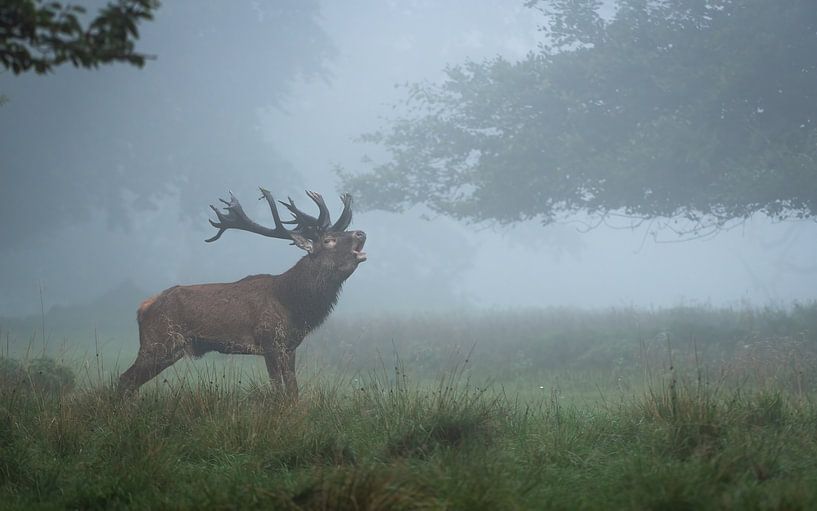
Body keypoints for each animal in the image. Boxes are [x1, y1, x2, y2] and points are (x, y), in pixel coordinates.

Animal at [118, 188, 366, 397]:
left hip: (168, 350)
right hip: (157, 342)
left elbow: (293, 391)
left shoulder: (290, 346)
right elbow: (278, 391)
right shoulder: (269, 341)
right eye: (328, 240)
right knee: (124, 379)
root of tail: (143, 307)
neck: (294, 305)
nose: (361, 233)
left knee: (130, 381)